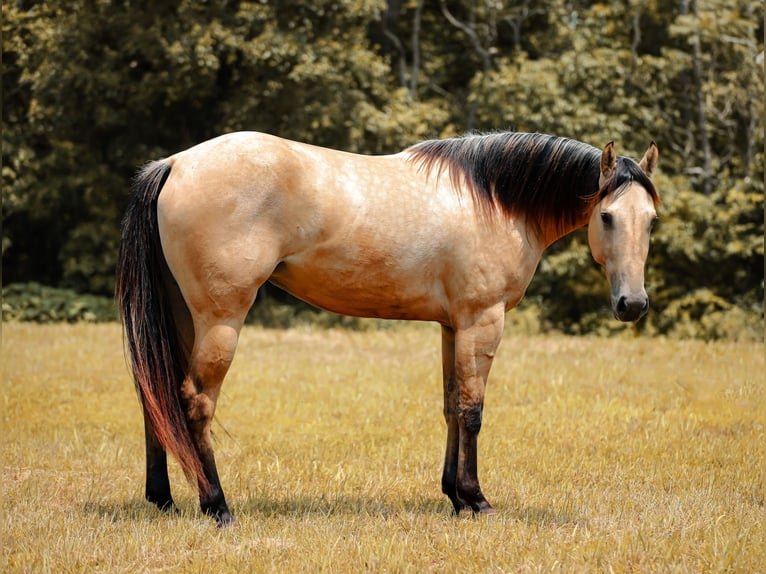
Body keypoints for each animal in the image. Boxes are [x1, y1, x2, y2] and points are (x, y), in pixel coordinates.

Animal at [116, 131, 659, 526]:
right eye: (607, 216)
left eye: (651, 220)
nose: (632, 304)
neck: (495, 200)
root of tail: (176, 163)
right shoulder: (482, 320)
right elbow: (473, 411)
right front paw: (476, 500)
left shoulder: (452, 326)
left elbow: (451, 407)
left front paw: (454, 497)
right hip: (220, 319)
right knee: (195, 402)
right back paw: (217, 506)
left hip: (180, 315)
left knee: (154, 395)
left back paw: (164, 499)